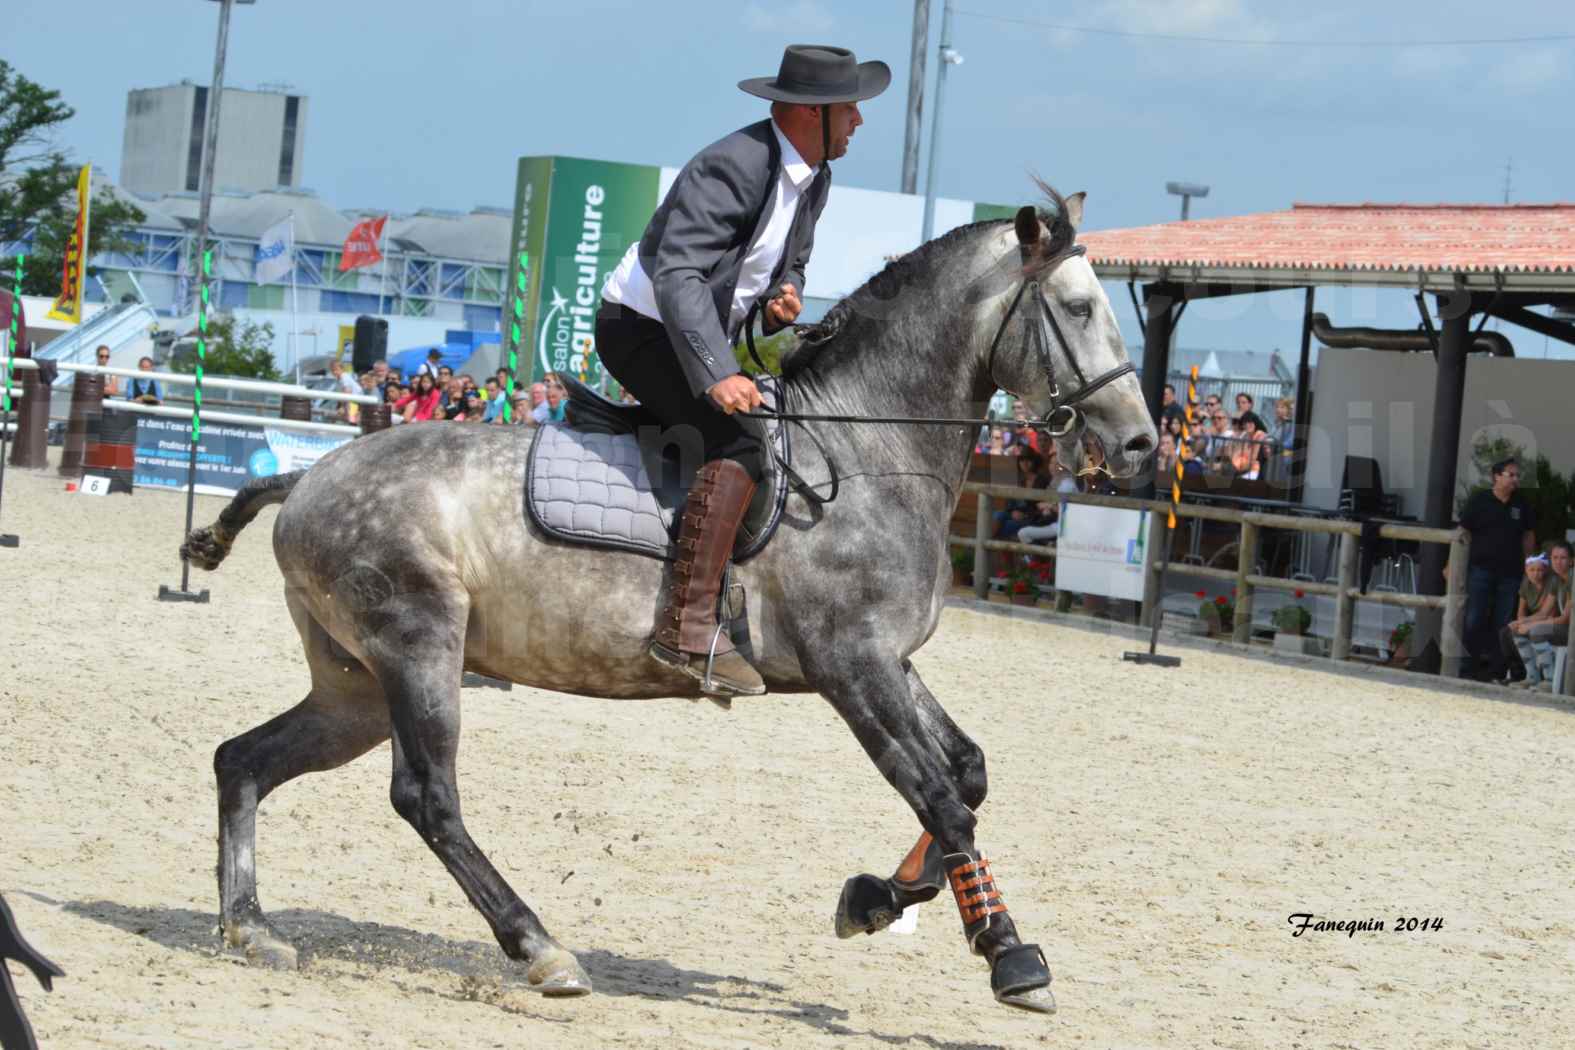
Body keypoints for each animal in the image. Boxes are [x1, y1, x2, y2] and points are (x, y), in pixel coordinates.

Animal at [187, 192, 1159, 1013]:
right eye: (1077, 308)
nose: (1139, 444)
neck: (867, 453)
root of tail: (310, 475)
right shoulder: (850, 665)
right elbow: (939, 797)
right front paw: (1008, 953)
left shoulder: (889, 659)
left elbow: (966, 773)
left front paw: (875, 901)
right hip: (416, 648)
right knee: (427, 798)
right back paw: (541, 949)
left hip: (354, 686)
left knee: (243, 759)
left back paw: (250, 927)